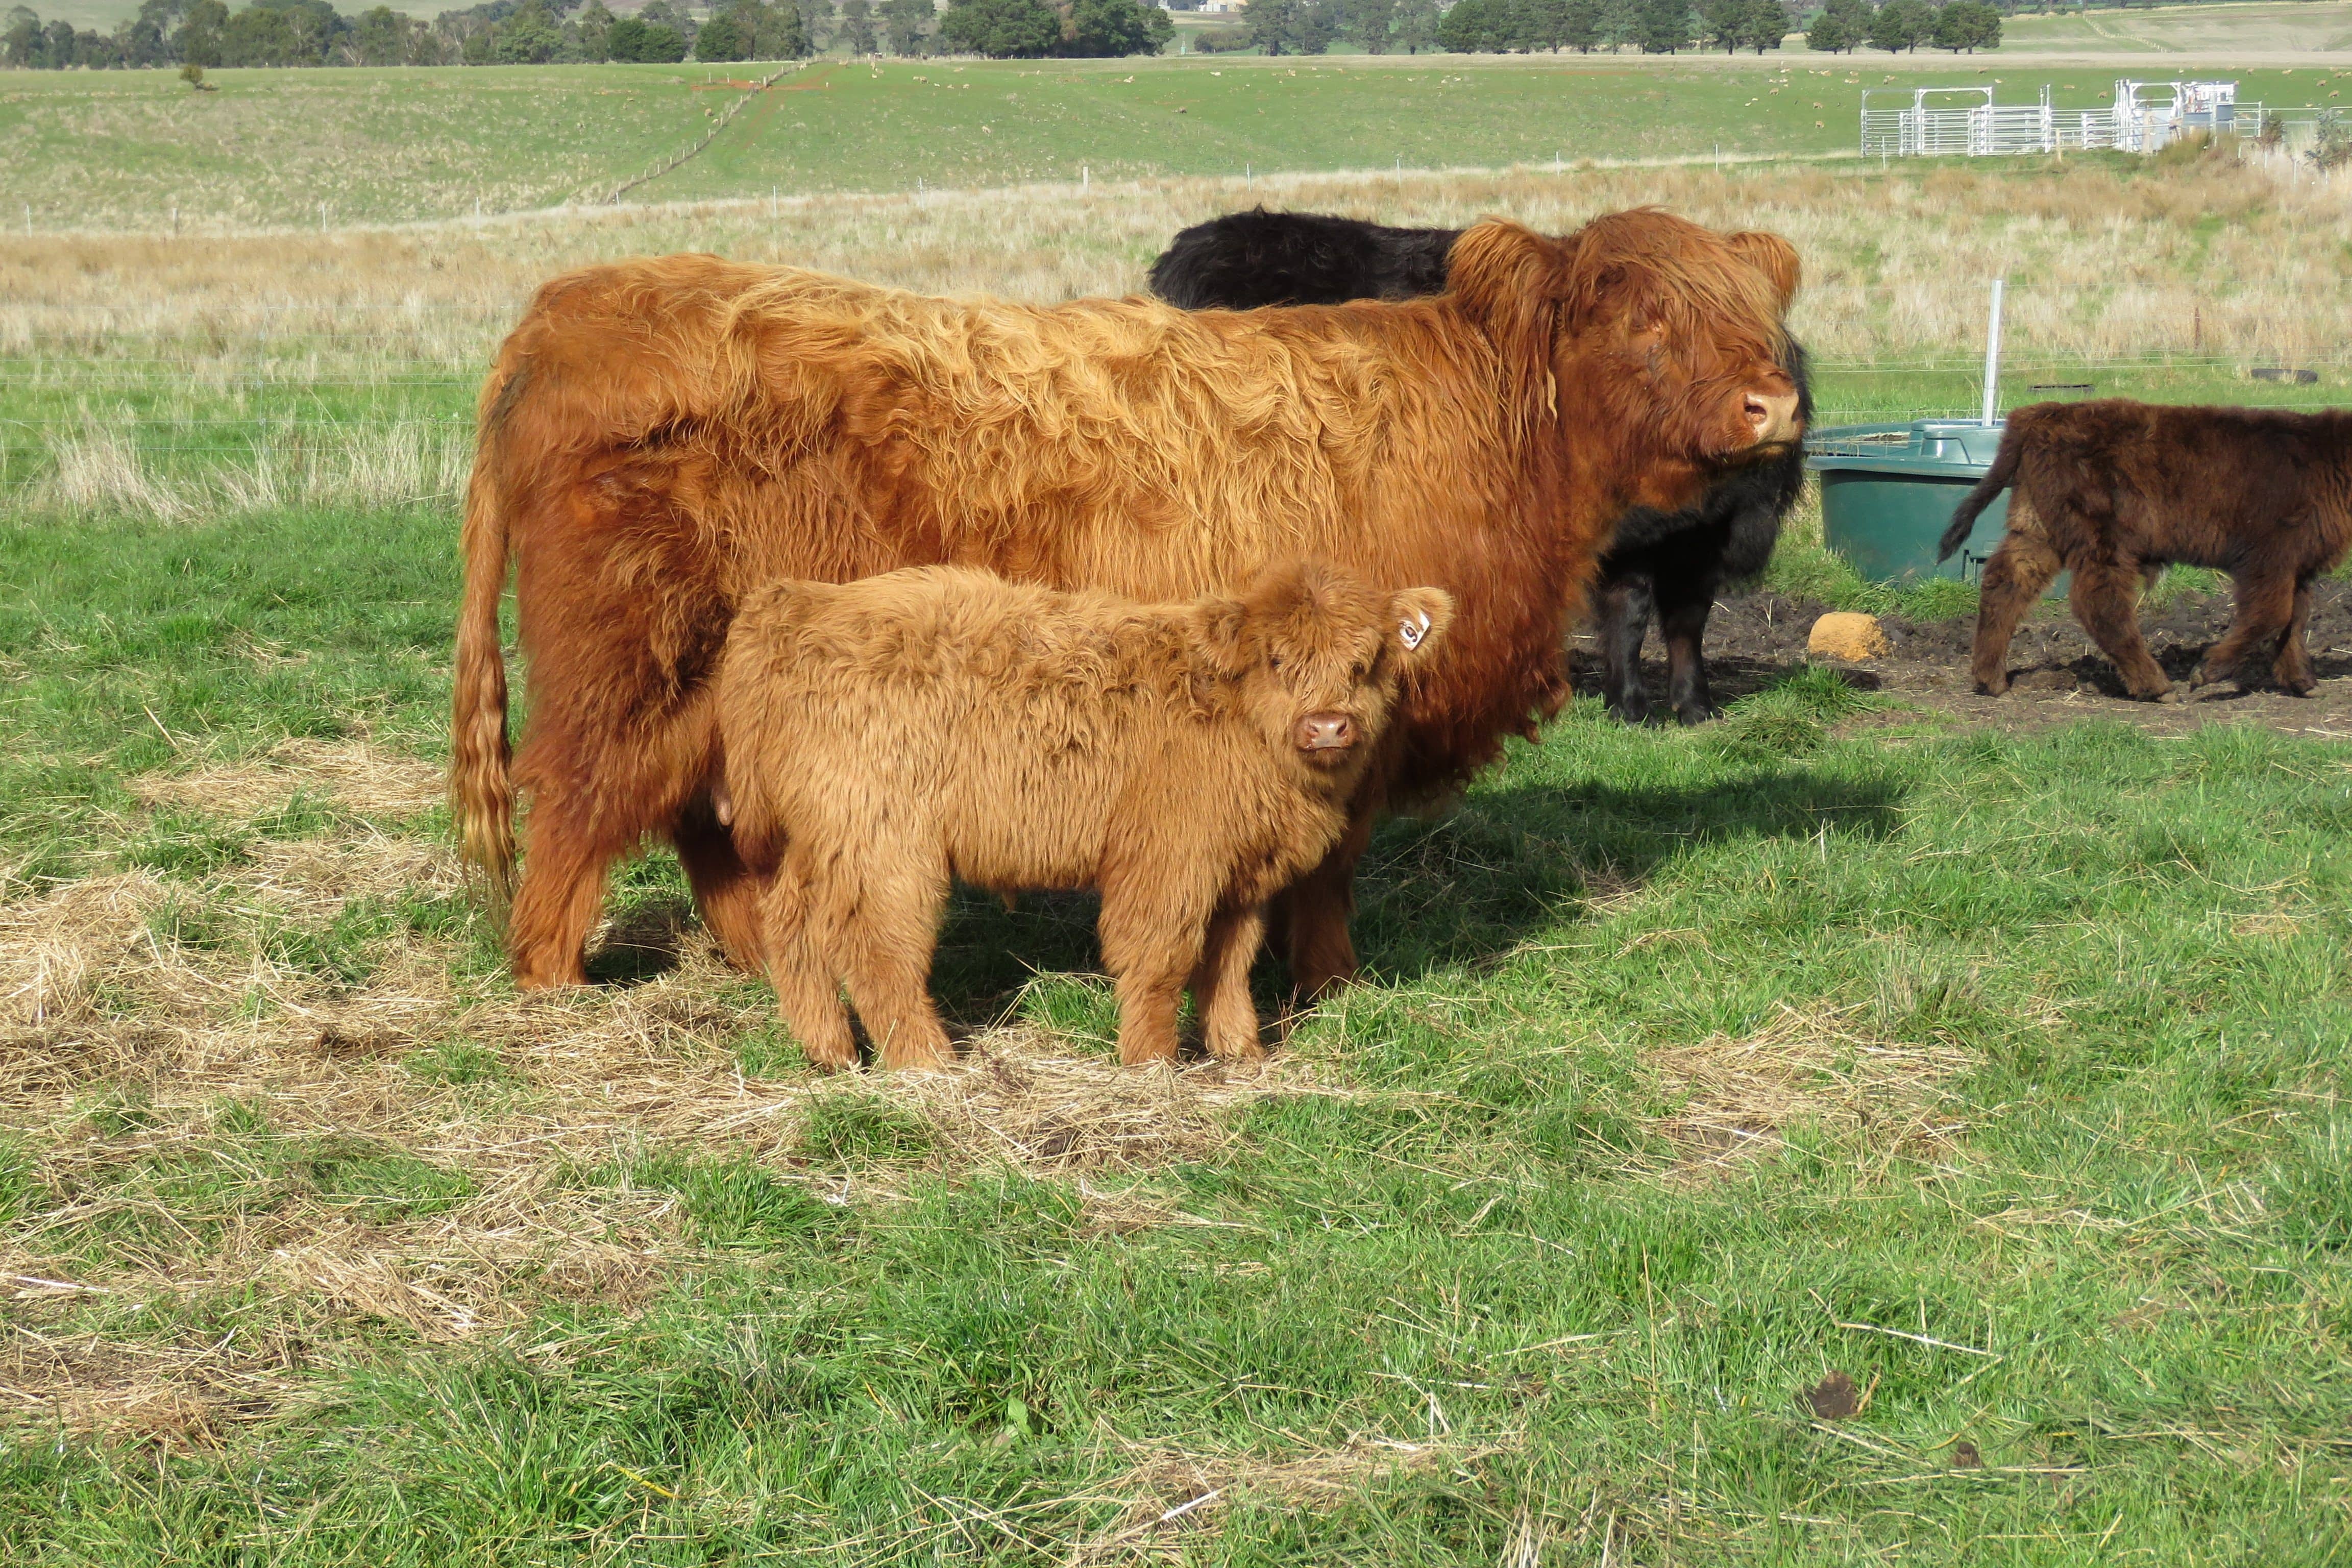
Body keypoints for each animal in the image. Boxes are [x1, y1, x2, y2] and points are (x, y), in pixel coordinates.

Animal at [715, 561, 1449, 1067]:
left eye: (1367, 661)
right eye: (1277, 659)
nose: (1328, 727)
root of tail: (804, 604)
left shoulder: (1239, 876)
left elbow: (1228, 962)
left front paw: (1240, 1050)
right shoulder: (1168, 864)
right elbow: (1162, 958)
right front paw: (1151, 1060)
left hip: (824, 842)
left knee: (794, 926)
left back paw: (830, 1051)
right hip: (886, 848)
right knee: (878, 951)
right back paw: (926, 1062)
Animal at [1147, 205, 1806, 728]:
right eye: (1648, 322)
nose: (1770, 407)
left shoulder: (1702, 539)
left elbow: (1688, 621)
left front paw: (1696, 707)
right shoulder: (1630, 540)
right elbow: (1631, 612)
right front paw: (1631, 707)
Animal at [1947, 402, 2352, 700]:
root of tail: (2042, 414)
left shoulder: (2300, 566)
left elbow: (2294, 621)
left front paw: (2303, 683)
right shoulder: (2269, 559)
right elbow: (2272, 615)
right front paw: (2205, 672)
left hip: (2038, 532)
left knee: (2006, 583)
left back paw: (1991, 680)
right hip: (2104, 544)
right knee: (2100, 604)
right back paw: (2156, 685)